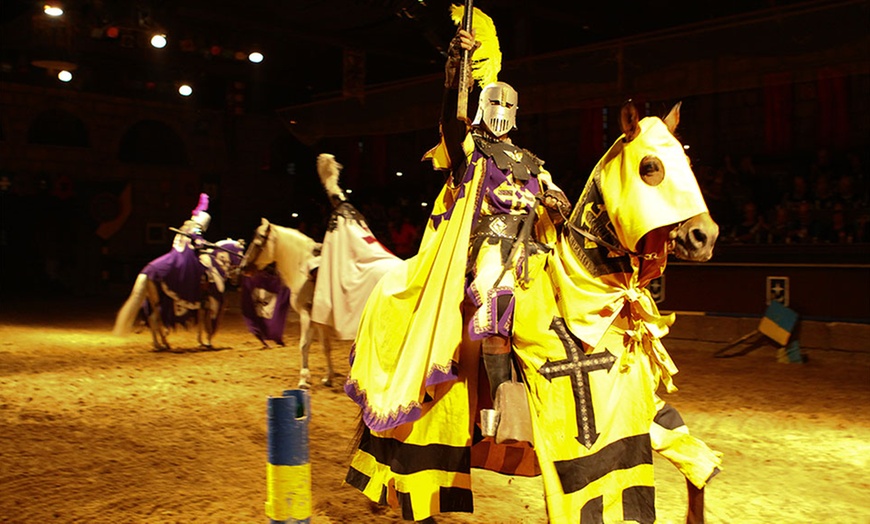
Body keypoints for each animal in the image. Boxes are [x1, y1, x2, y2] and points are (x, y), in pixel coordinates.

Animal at [113, 234, 245, 352]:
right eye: (241, 255)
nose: (236, 277)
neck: (216, 265)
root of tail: (147, 271)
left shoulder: (203, 305)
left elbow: (201, 323)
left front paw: (201, 342)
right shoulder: (215, 303)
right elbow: (211, 326)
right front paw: (208, 343)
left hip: (154, 302)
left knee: (153, 320)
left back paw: (161, 344)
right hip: (159, 302)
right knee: (154, 320)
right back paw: (162, 344)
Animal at [346, 100, 724, 520]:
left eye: (686, 162)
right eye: (650, 167)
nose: (704, 236)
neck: (580, 297)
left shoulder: (640, 408)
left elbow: (690, 457)